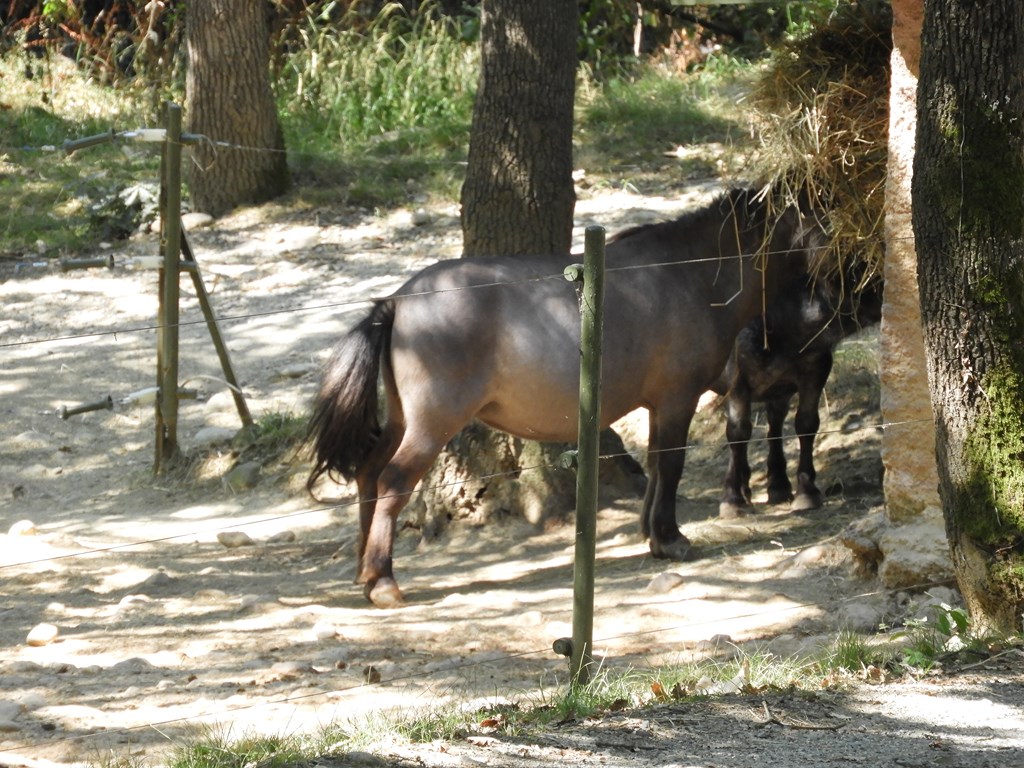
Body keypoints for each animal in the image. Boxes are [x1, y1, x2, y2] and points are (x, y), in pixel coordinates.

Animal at [307, 188, 826, 608]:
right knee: (392, 481)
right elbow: (671, 463)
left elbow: (656, 463)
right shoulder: (678, 398)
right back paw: (383, 582)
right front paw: (670, 537)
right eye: (822, 209)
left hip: (401, 419)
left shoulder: (658, 404)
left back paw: (365, 569)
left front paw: (651, 533)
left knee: (368, 474)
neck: (691, 277)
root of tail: (396, 301)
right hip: (431, 425)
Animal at [713, 271, 883, 518]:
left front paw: (806, 492)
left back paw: (776, 486)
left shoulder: (816, 370)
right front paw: (731, 500)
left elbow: (806, 424)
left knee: (774, 425)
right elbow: (738, 433)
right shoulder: (736, 378)